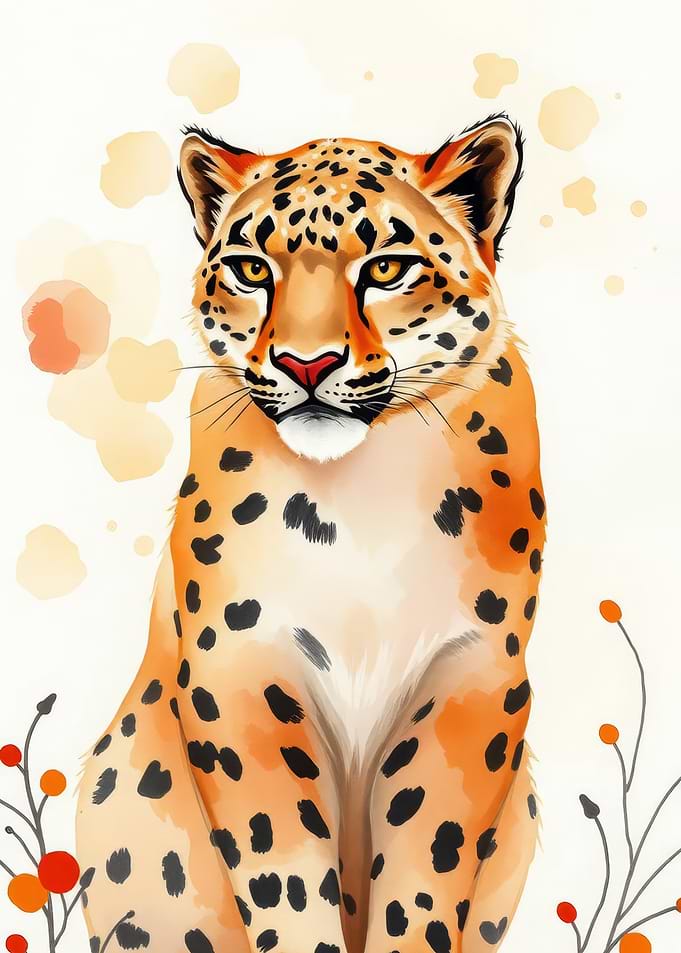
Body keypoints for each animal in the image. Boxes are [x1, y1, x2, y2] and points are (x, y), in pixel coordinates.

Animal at [77, 113, 546, 953]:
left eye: (387, 266)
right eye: (250, 269)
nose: (305, 363)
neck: (357, 498)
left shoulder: (472, 672)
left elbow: (426, 860)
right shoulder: (241, 668)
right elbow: (281, 866)